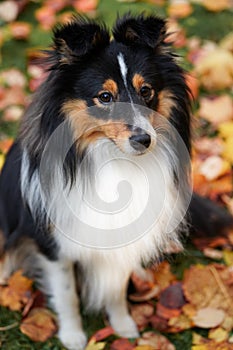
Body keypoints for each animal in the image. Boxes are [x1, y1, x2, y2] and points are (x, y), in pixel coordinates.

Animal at [0, 13, 232, 350]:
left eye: (146, 91)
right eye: (105, 97)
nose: (144, 140)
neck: (112, 158)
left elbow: (117, 287)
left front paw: (122, 324)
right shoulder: (52, 241)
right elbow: (67, 294)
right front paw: (73, 336)